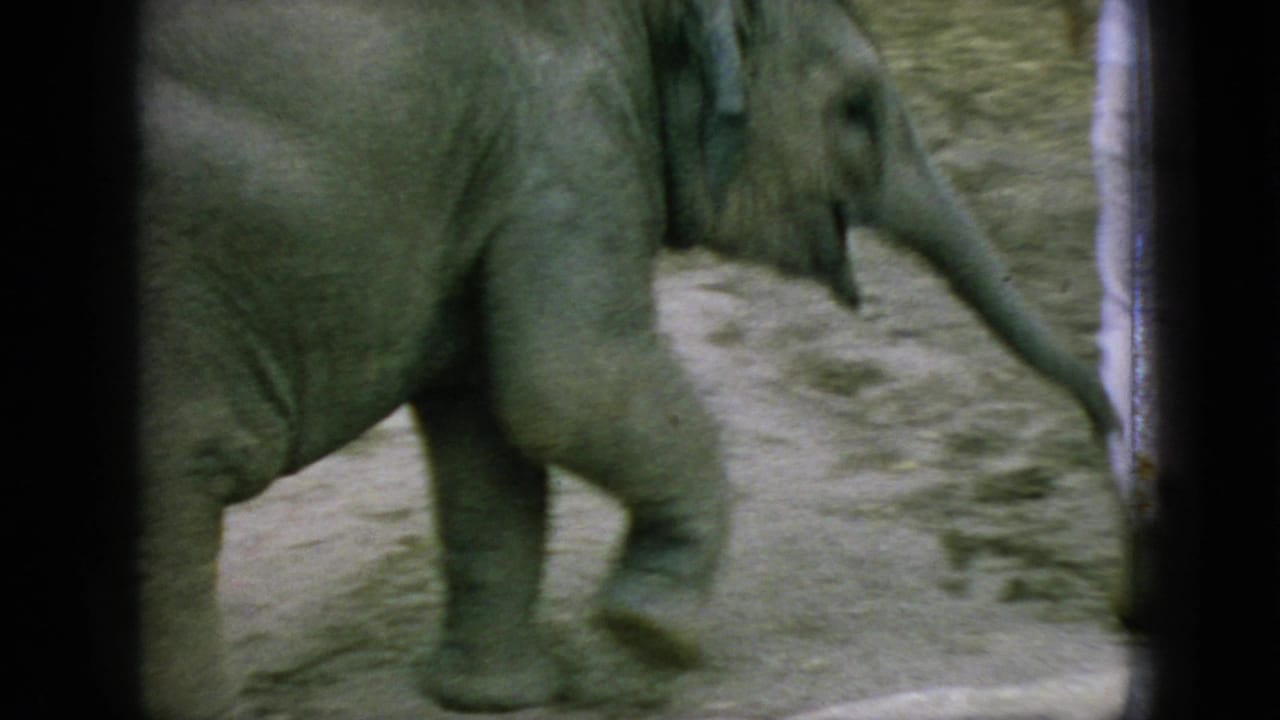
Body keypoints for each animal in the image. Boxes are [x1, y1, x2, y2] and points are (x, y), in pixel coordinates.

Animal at [137, 0, 1116, 716]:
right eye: (855, 108)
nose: (1109, 429)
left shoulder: (500, 165)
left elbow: (488, 429)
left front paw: (500, 698)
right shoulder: (566, 139)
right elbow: (567, 382)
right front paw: (654, 637)